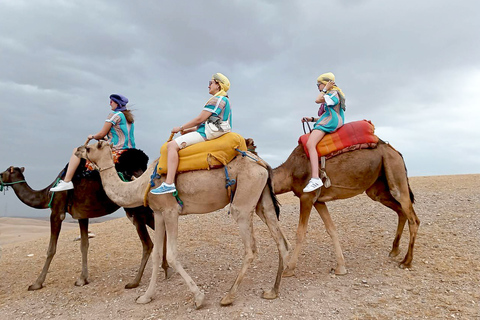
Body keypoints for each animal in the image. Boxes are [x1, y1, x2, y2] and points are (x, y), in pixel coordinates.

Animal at [0, 149, 171, 290]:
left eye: (4, 172)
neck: (47, 193)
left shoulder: (56, 212)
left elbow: (51, 249)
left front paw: (37, 283)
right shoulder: (81, 215)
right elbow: (84, 245)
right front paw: (82, 279)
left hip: (135, 208)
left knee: (148, 243)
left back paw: (135, 281)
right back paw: (166, 268)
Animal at [77, 141, 290, 308]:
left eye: (89, 148)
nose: (77, 150)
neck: (141, 185)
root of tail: (262, 164)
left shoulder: (171, 211)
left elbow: (171, 255)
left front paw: (199, 298)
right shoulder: (159, 213)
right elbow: (156, 254)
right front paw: (145, 297)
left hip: (243, 200)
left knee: (250, 248)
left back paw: (229, 296)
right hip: (262, 199)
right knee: (280, 240)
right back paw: (273, 290)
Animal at [248, 139, 420, 276]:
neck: (290, 173)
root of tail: (396, 152)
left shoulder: (306, 197)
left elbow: (300, 233)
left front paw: (289, 269)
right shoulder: (318, 201)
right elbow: (331, 229)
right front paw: (340, 267)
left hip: (394, 171)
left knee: (413, 218)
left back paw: (407, 261)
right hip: (378, 188)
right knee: (401, 212)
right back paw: (394, 250)